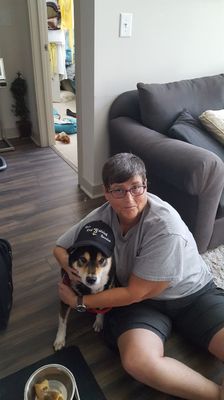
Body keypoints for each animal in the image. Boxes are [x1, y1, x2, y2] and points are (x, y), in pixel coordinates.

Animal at [53, 220, 114, 352]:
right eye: (82, 259)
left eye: (101, 260)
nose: (91, 279)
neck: (88, 289)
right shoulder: (65, 299)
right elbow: (62, 322)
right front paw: (59, 339)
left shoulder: (105, 292)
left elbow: (101, 310)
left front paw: (99, 322)